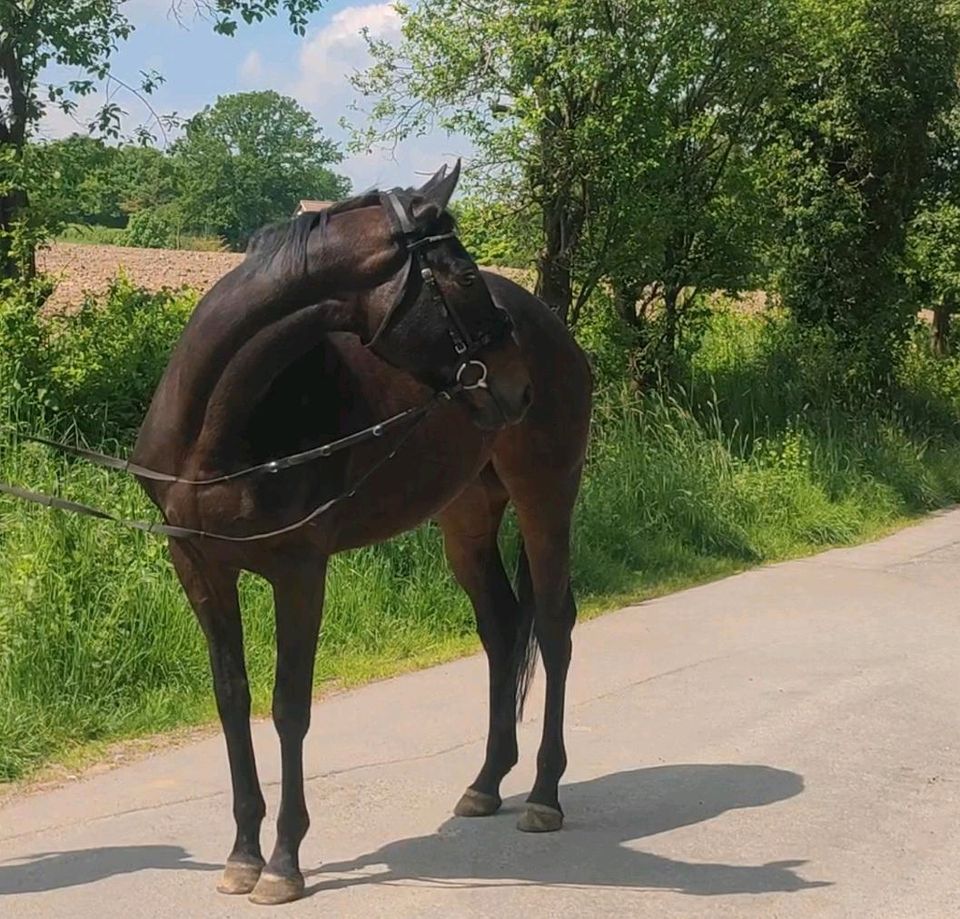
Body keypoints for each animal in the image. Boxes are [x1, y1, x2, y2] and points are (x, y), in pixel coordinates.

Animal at [130, 165, 588, 904]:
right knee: (499, 624)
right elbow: (232, 698)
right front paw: (241, 854)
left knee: (551, 625)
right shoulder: (198, 564)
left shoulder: (299, 567)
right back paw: (486, 784)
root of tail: (557, 331)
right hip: (465, 515)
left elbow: (290, 706)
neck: (216, 427)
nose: (516, 385)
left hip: (546, 496)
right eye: (463, 276)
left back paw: (545, 793)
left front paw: (283, 863)